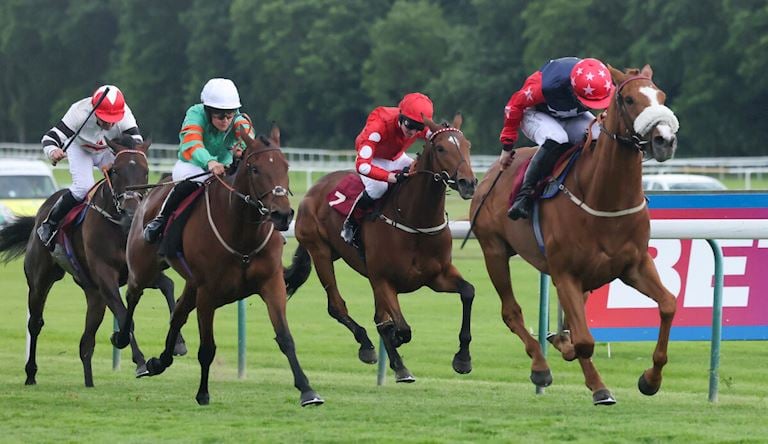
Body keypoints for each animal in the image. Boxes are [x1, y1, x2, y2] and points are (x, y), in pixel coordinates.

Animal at [0, 137, 184, 386]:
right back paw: (30, 373)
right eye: (115, 171)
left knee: (86, 343)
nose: (131, 211)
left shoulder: (137, 272)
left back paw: (89, 383)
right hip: (40, 281)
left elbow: (168, 285)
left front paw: (179, 343)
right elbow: (126, 317)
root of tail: (40, 213)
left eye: (146, 171)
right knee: (35, 323)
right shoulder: (105, 276)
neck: (120, 227)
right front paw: (139, 360)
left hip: (93, 295)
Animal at [118, 124, 322, 406]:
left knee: (178, 313)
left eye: (286, 166)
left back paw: (160, 360)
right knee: (133, 294)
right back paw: (122, 338)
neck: (242, 236)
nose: (282, 215)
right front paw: (203, 393)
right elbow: (207, 348)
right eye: (255, 169)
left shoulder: (272, 284)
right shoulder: (208, 293)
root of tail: (151, 193)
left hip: (191, 283)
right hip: (144, 268)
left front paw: (307, 390)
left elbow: (285, 338)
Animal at [284, 114, 476, 382]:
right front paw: (394, 340)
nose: (468, 183)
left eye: (467, 145)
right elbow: (401, 328)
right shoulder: (384, 279)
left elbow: (468, 292)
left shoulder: (437, 276)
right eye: (440, 148)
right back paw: (368, 346)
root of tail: (314, 190)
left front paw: (463, 358)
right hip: (320, 252)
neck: (415, 221)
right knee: (336, 306)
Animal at [468, 64, 680, 404]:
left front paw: (651, 379)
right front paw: (599, 388)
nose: (665, 139)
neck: (604, 197)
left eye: (661, 96)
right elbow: (584, 341)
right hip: (494, 251)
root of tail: (489, 175)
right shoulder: (564, 272)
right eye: (630, 99)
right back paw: (540, 366)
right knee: (511, 312)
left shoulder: (634, 265)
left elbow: (668, 305)